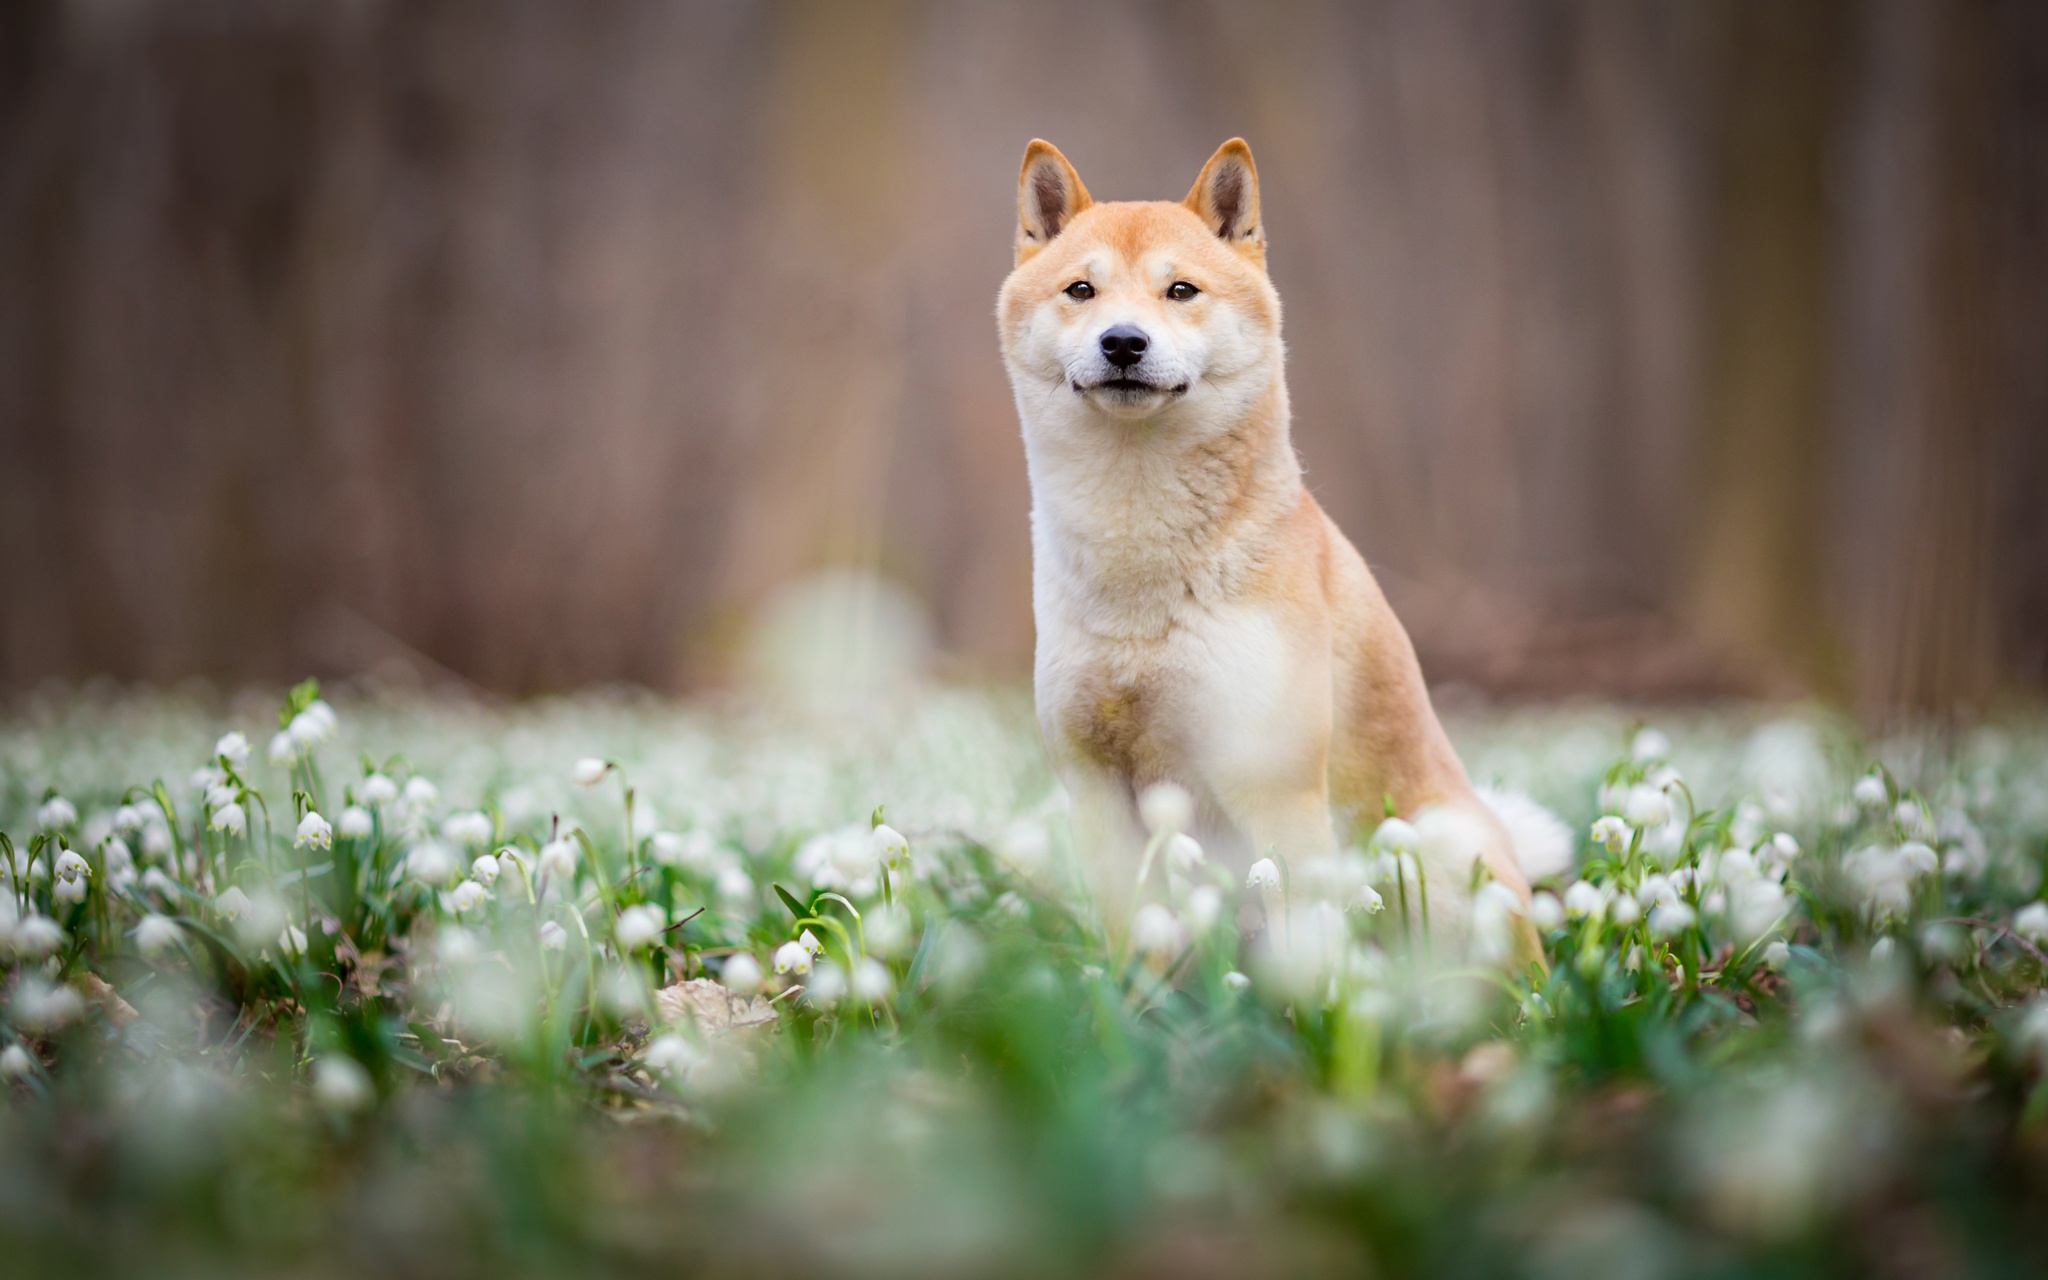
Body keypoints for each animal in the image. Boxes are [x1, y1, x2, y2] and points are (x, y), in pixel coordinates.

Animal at [999, 142, 1556, 958]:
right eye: (1081, 289)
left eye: (1181, 290)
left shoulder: (1275, 788)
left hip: (1434, 851)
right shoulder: (1095, 789)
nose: (1124, 341)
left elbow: (1310, 949)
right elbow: (1137, 941)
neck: (1140, 560)